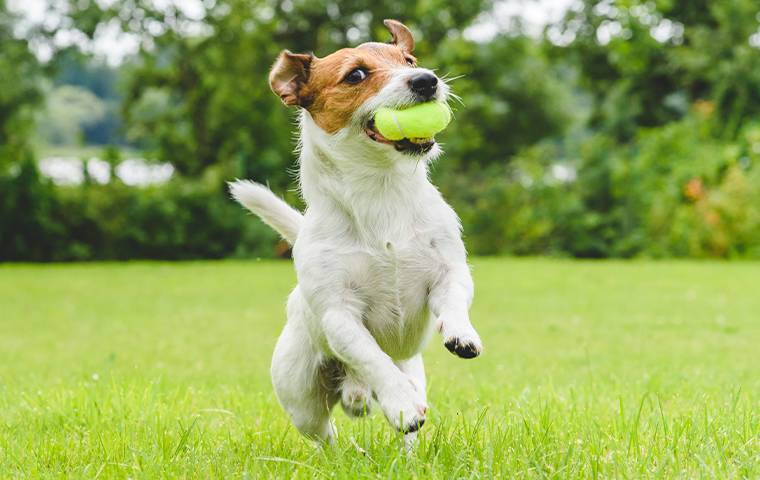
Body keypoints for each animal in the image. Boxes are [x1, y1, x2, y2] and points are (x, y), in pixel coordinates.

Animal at [229, 19, 484, 442]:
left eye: (409, 60)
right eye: (356, 75)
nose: (427, 80)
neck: (381, 192)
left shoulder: (449, 272)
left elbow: (453, 301)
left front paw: (461, 333)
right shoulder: (339, 314)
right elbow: (371, 357)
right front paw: (399, 402)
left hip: (412, 369)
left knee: (406, 424)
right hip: (302, 399)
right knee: (327, 435)